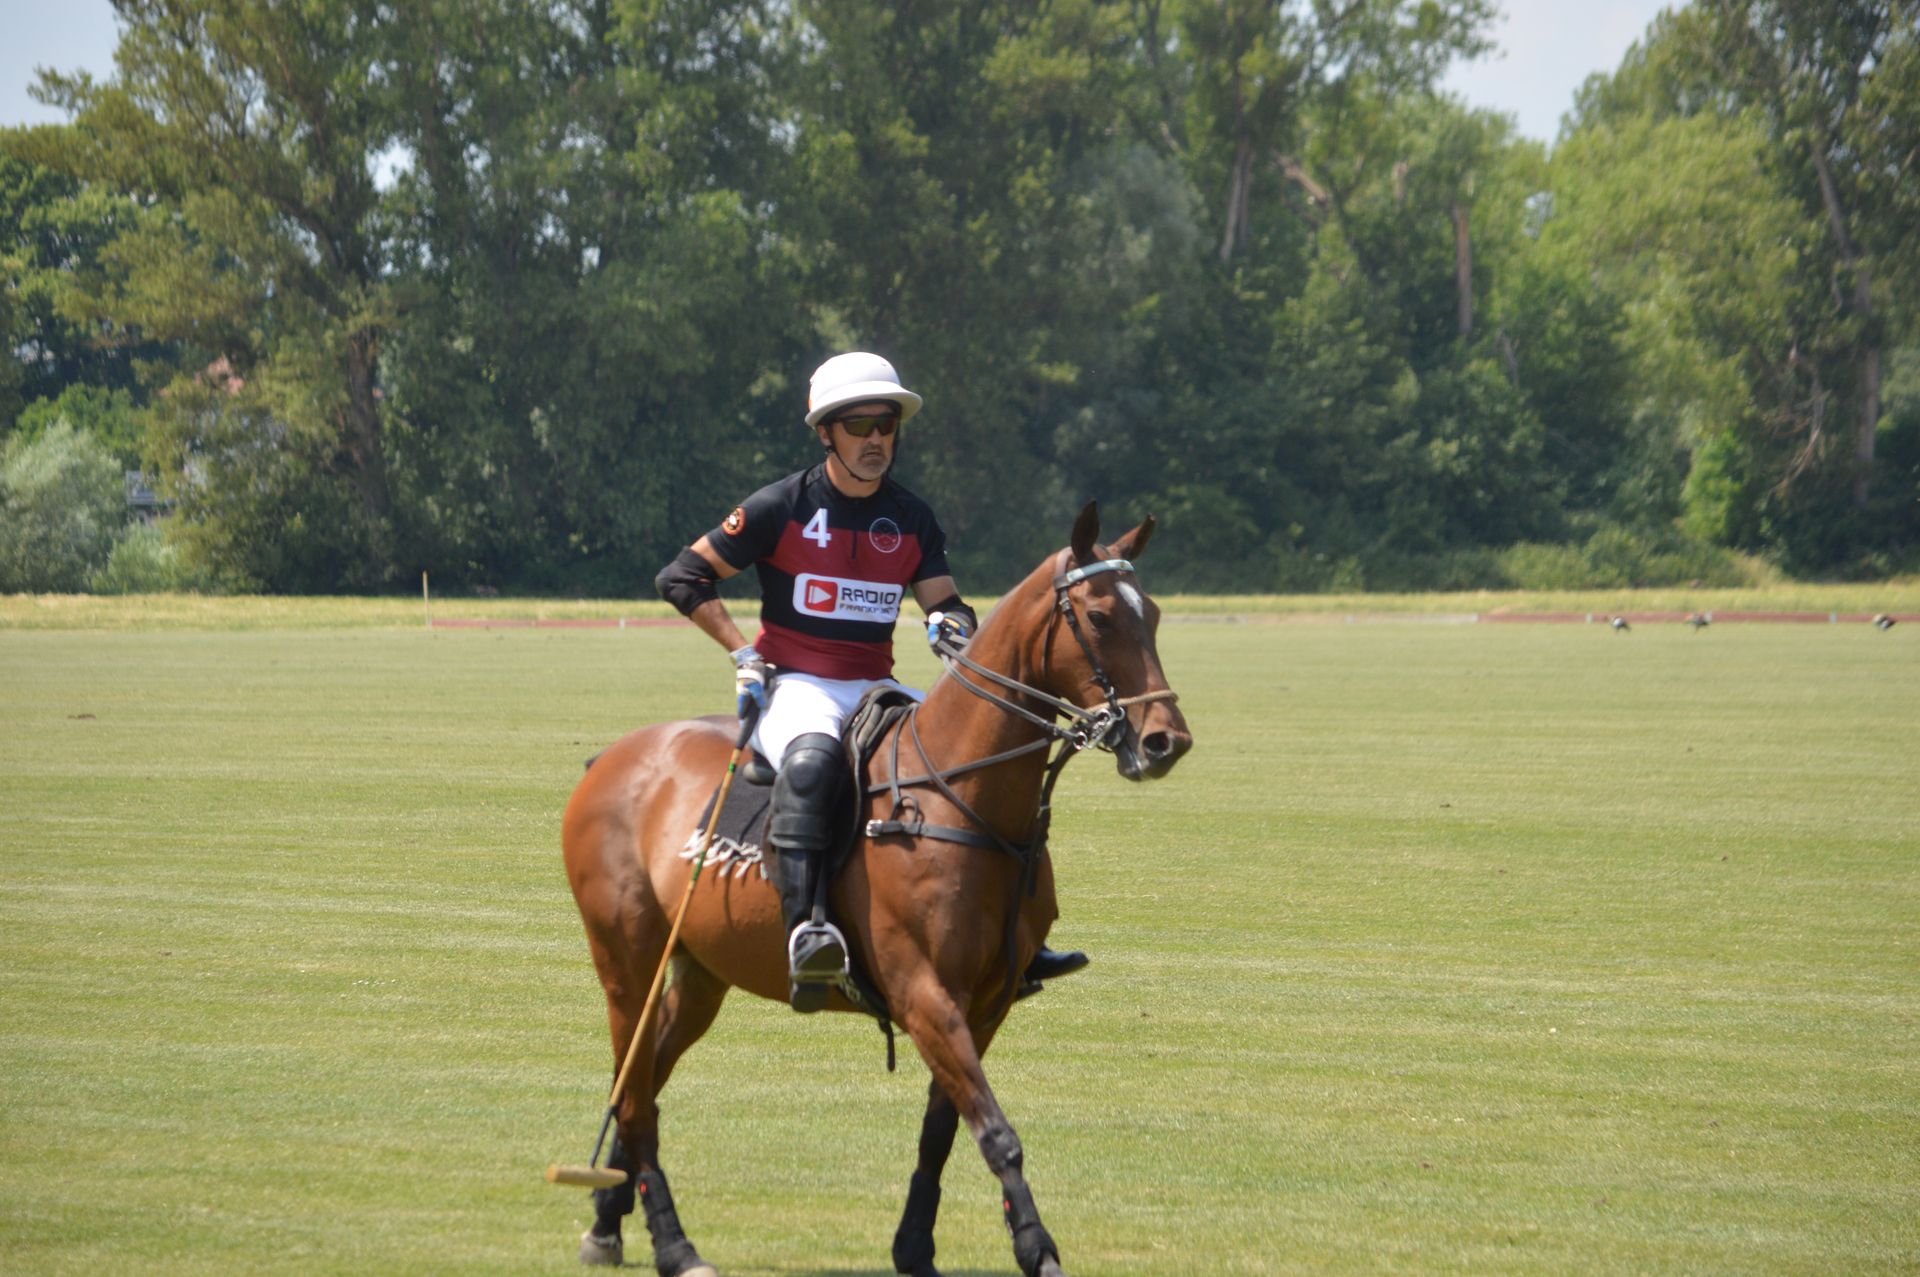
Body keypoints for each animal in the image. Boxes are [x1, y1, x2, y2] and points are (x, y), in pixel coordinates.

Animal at [559, 502, 1193, 1276]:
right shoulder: (923, 990)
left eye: (1152, 613)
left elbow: (944, 1128)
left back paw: (607, 1221)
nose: (1166, 741)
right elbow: (997, 1130)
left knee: (641, 1080)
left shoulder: (986, 1001)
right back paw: (676, 1245)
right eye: (1100, 617)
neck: (968, 798)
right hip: (627, 963)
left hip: (701, 971)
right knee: (636, 1098)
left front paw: (914, 1246)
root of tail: (608, 759)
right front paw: (1037, 1248)